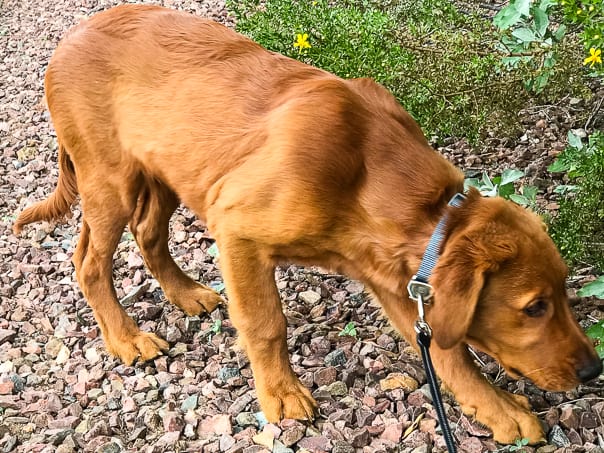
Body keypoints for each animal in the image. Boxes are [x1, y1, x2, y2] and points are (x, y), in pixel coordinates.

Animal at [13, 4, 600, 442]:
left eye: (565, 296)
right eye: (535, 307)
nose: (593, 372)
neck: (371, 173)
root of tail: (70, 37)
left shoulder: (394, 279)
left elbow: (448, 355)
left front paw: (498, 410)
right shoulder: (237, 226)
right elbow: (266, 323)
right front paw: (281, 397)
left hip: (165, 172)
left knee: (148, 234)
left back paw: (186, 294)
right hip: (111, 179)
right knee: (88, 260)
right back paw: (126, 339)